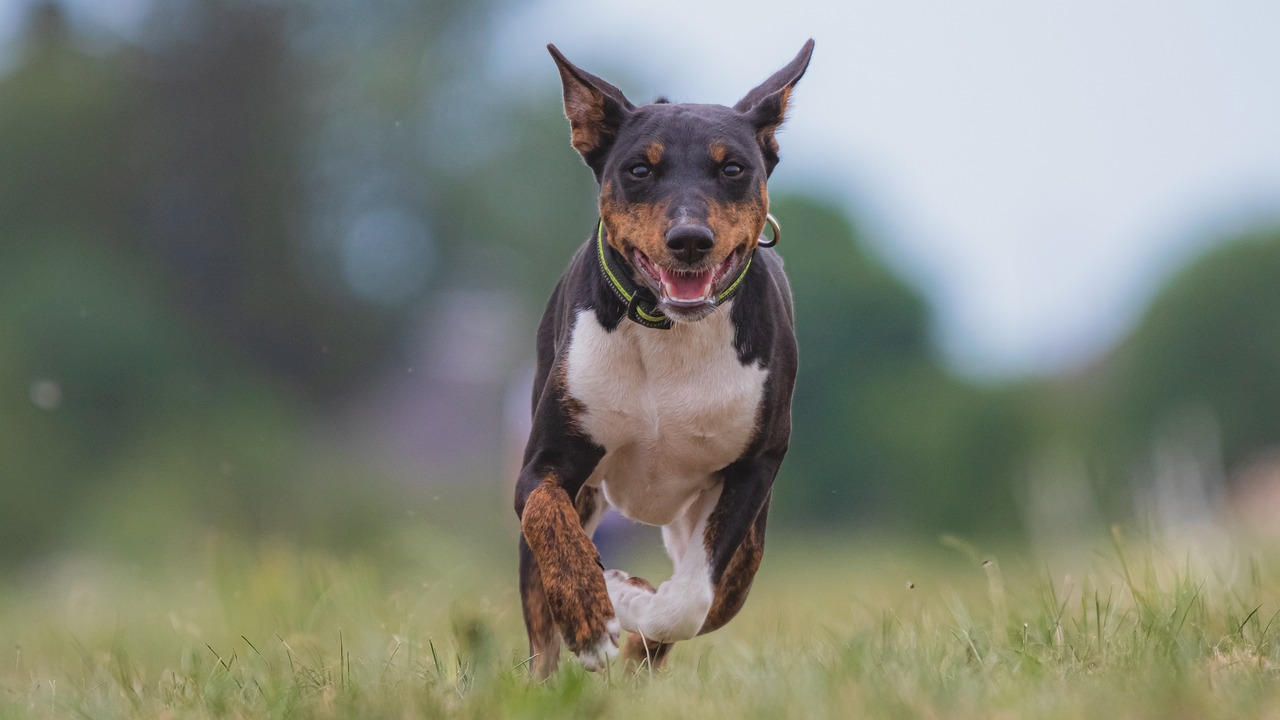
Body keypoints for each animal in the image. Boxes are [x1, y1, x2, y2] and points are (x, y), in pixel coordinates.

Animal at [509, 41, 808, 676]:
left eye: (732, 168)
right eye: (640, 170)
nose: (690, 239)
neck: (669, 330)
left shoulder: (753, 471)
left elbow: (689, 601)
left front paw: (627, 597)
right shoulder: (543, 464)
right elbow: (548, 516)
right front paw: (593, 615)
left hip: (741, 544)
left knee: (711, 603)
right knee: (541, 639)